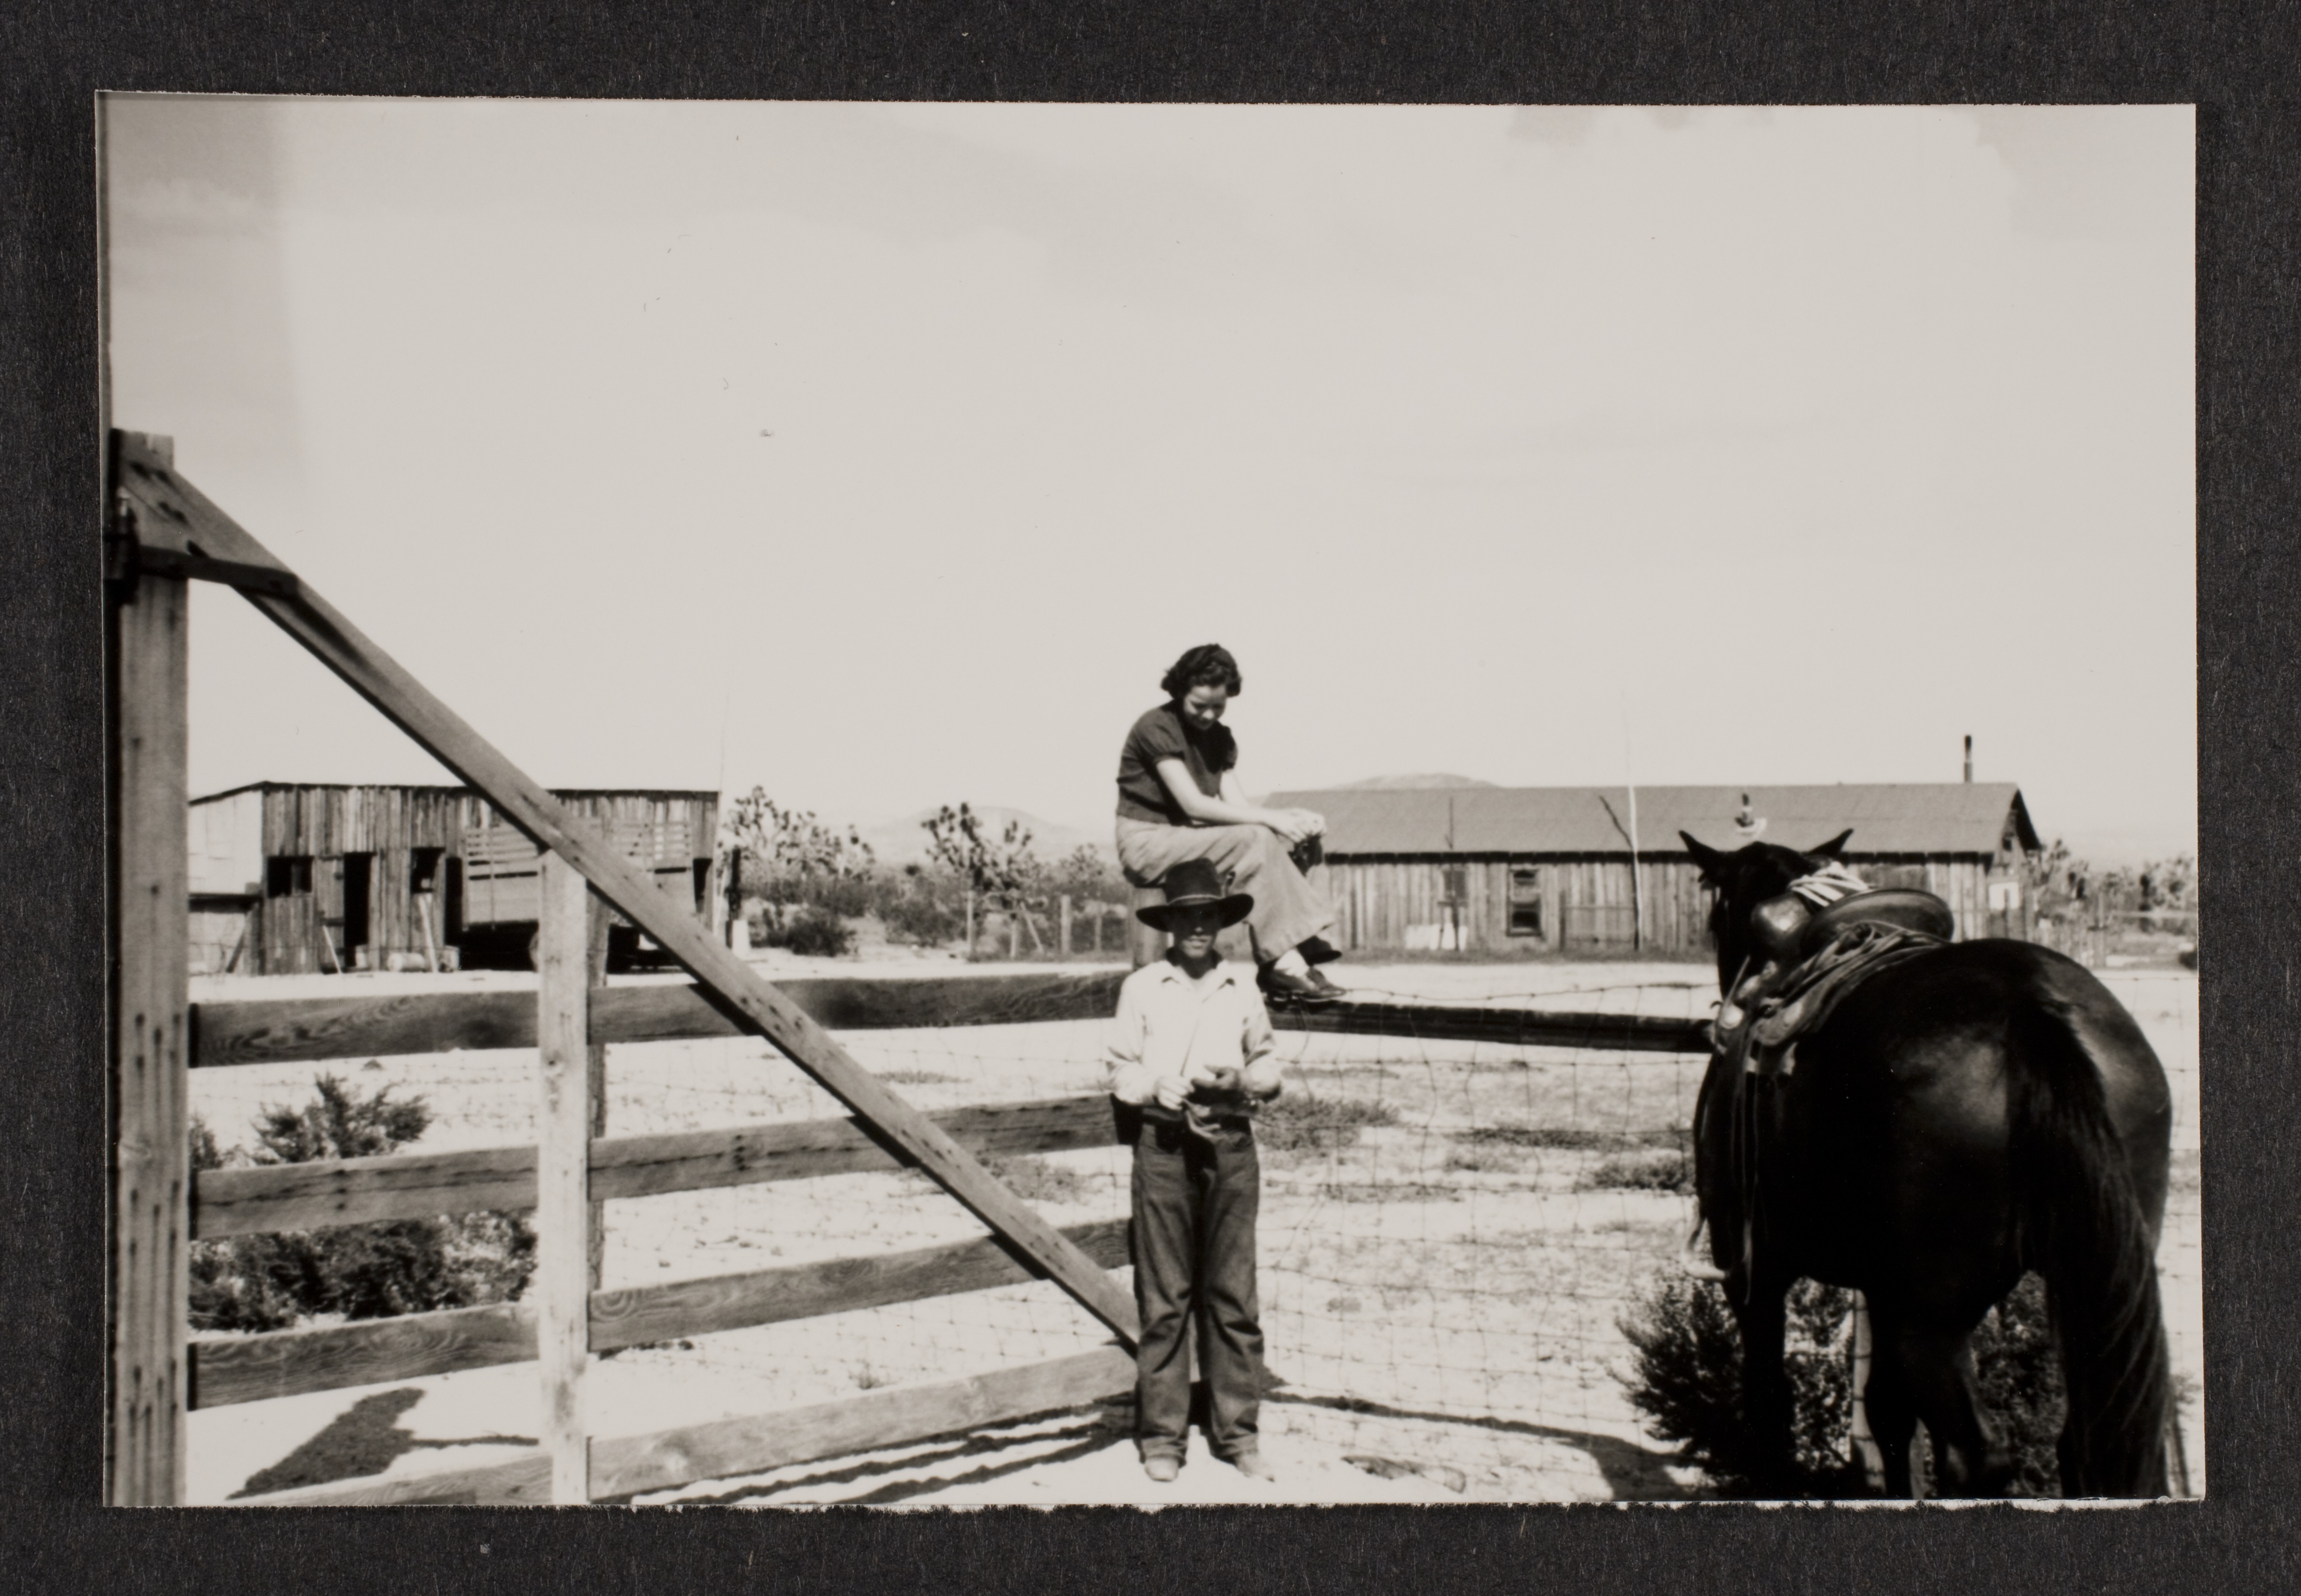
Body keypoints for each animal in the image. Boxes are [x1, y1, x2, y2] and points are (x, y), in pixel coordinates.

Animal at [1684, 832, 2163, 1509]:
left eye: (1715, 912)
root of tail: (2030, 1012)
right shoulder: (1881, 1286)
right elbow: (1887, 1412)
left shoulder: (1753, 1269)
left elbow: (1772, 1402)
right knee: (2085, 1442)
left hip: (1933, 1317)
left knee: (1975, 1455)